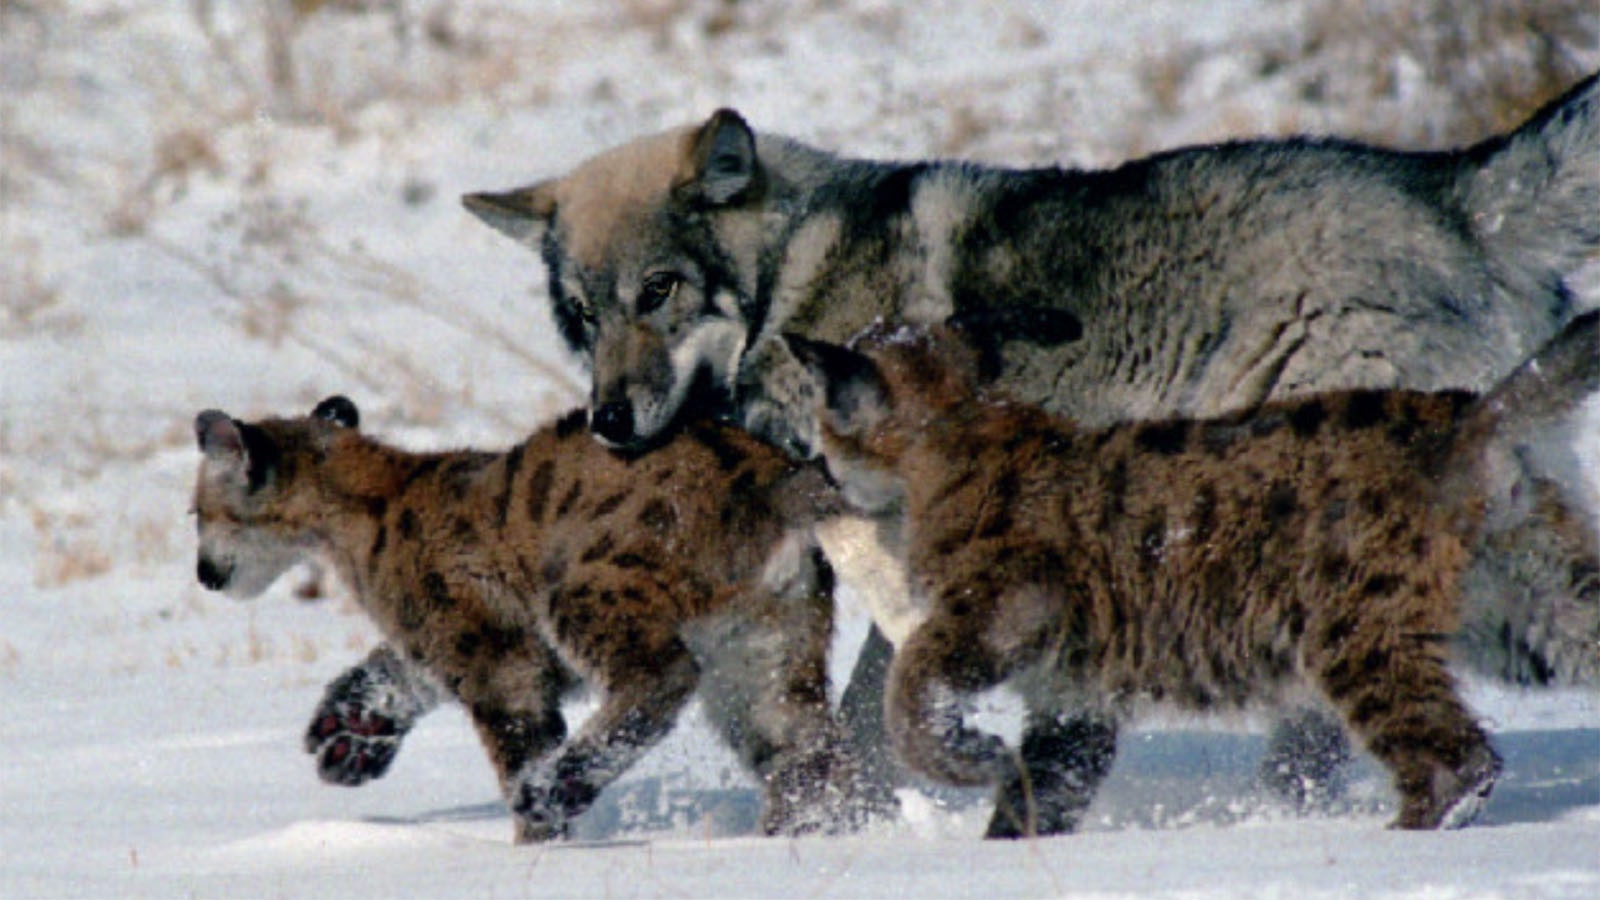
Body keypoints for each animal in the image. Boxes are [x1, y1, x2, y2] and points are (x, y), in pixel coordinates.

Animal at [191, 397, 874, 842]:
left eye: (196, 513)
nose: (202, 574)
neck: (367, 498)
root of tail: (770, 475)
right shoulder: (444, 642)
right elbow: (398, 669)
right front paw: (352, 729)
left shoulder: (494, 653)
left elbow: (515, 740)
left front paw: (534, 844)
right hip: (763, 654)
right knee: (807, 747)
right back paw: (812, 832)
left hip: (585, 587)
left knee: (662, 680)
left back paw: (559, 784)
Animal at [787, 310, 1597, 834]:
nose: (805, 464)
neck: (960, 423)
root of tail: (1463, 415)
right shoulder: (1074, 695)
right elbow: (1044, 787)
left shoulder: (1006, 603)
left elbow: (908, 690)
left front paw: (967, 758)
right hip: (1536, 607)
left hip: (1354, 632)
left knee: (1458, 760)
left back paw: (1393, 840)